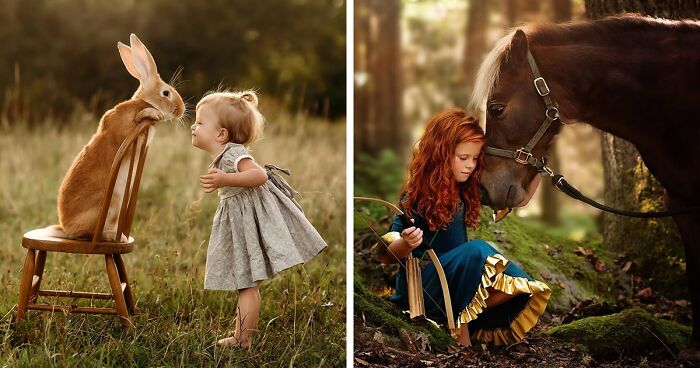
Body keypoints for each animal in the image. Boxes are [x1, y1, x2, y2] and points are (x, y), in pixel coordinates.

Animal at [50, 33, 185, 242]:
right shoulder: (126, 127)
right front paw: (152, 113)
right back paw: (116, 237)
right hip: (111, 204)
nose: (181, 110)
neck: (142, 101)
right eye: (166, 92)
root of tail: (66, 229)